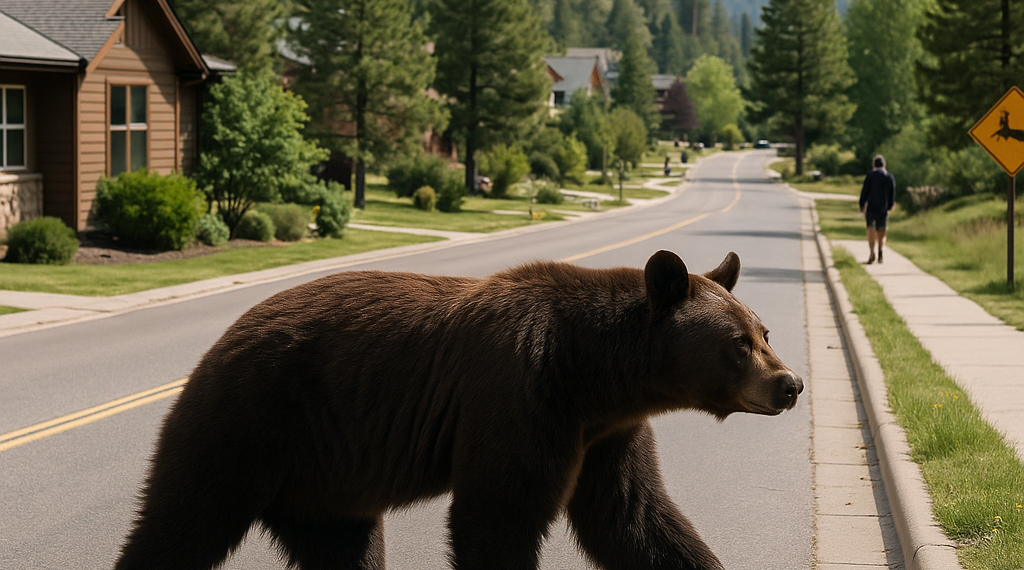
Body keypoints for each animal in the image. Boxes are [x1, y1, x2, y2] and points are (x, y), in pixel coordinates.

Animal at [114, 250, 802, 570]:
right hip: (248, 422)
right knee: (183, 519)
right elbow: (497, 513)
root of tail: (216, 346)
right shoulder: (519, 394)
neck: (594, 373)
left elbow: (634, 518)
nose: (790, 383)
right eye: (739, 343)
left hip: (325, 483)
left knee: (345, 548)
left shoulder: (608, 433)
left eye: (764, 331)